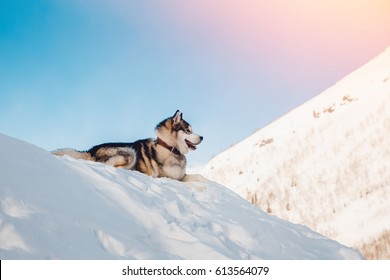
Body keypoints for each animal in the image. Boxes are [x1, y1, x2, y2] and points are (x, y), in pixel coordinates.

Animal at [52, 110, 207, 183]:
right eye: (188, 131)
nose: (202, 137)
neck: (169, 147)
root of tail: (90, 150)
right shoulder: (169, 178)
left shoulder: (182, 176)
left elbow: (199, 176)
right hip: (129, 153)